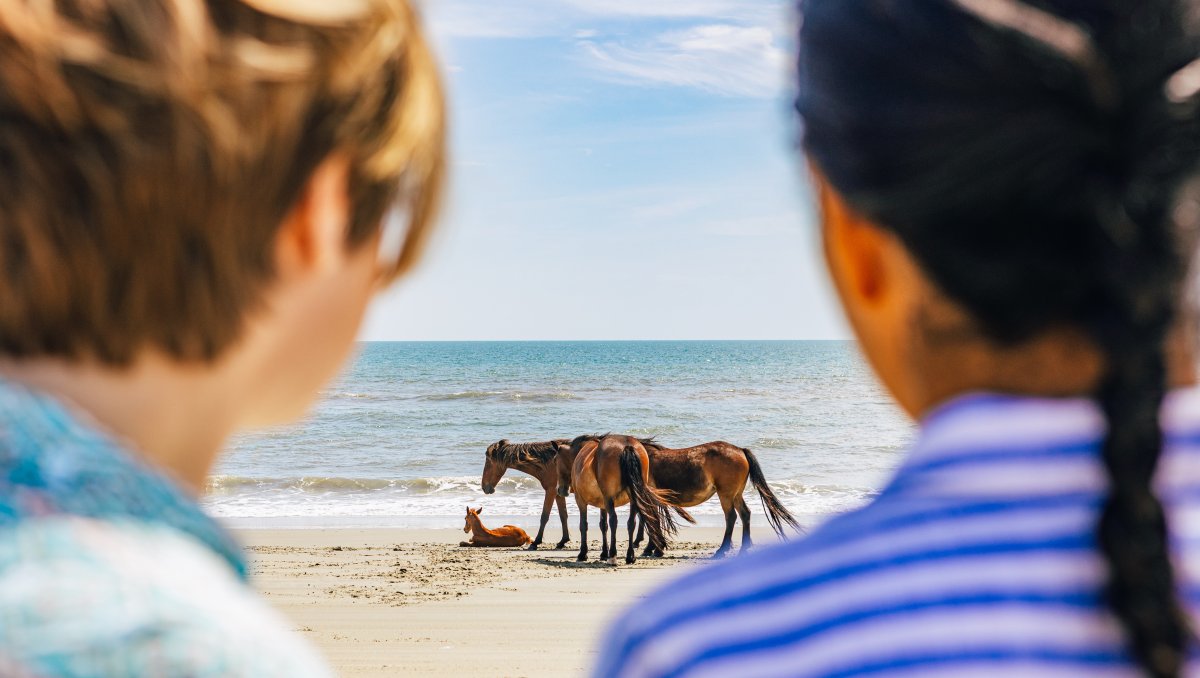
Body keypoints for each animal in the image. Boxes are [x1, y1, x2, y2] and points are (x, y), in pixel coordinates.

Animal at [552, 434, 696, 566]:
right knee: (631, 523)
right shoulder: (602, 504)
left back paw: (613, 556)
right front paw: (603, 553)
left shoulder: (581, 500)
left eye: (555, 460)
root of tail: (627, 446)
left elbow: (584, 525)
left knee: (614, 520)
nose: (560, 490)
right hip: (633, 498)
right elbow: (603, 525)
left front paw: (583, 554)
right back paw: (630, 556)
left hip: (610, 498)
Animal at [633, 439, 801, 554]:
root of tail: (740, 450)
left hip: (726, 494)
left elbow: (650, 520)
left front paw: (651, 548)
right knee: (745, 514)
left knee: (731, 517)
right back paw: (744, 548)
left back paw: (722, 550)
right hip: (736, 495)